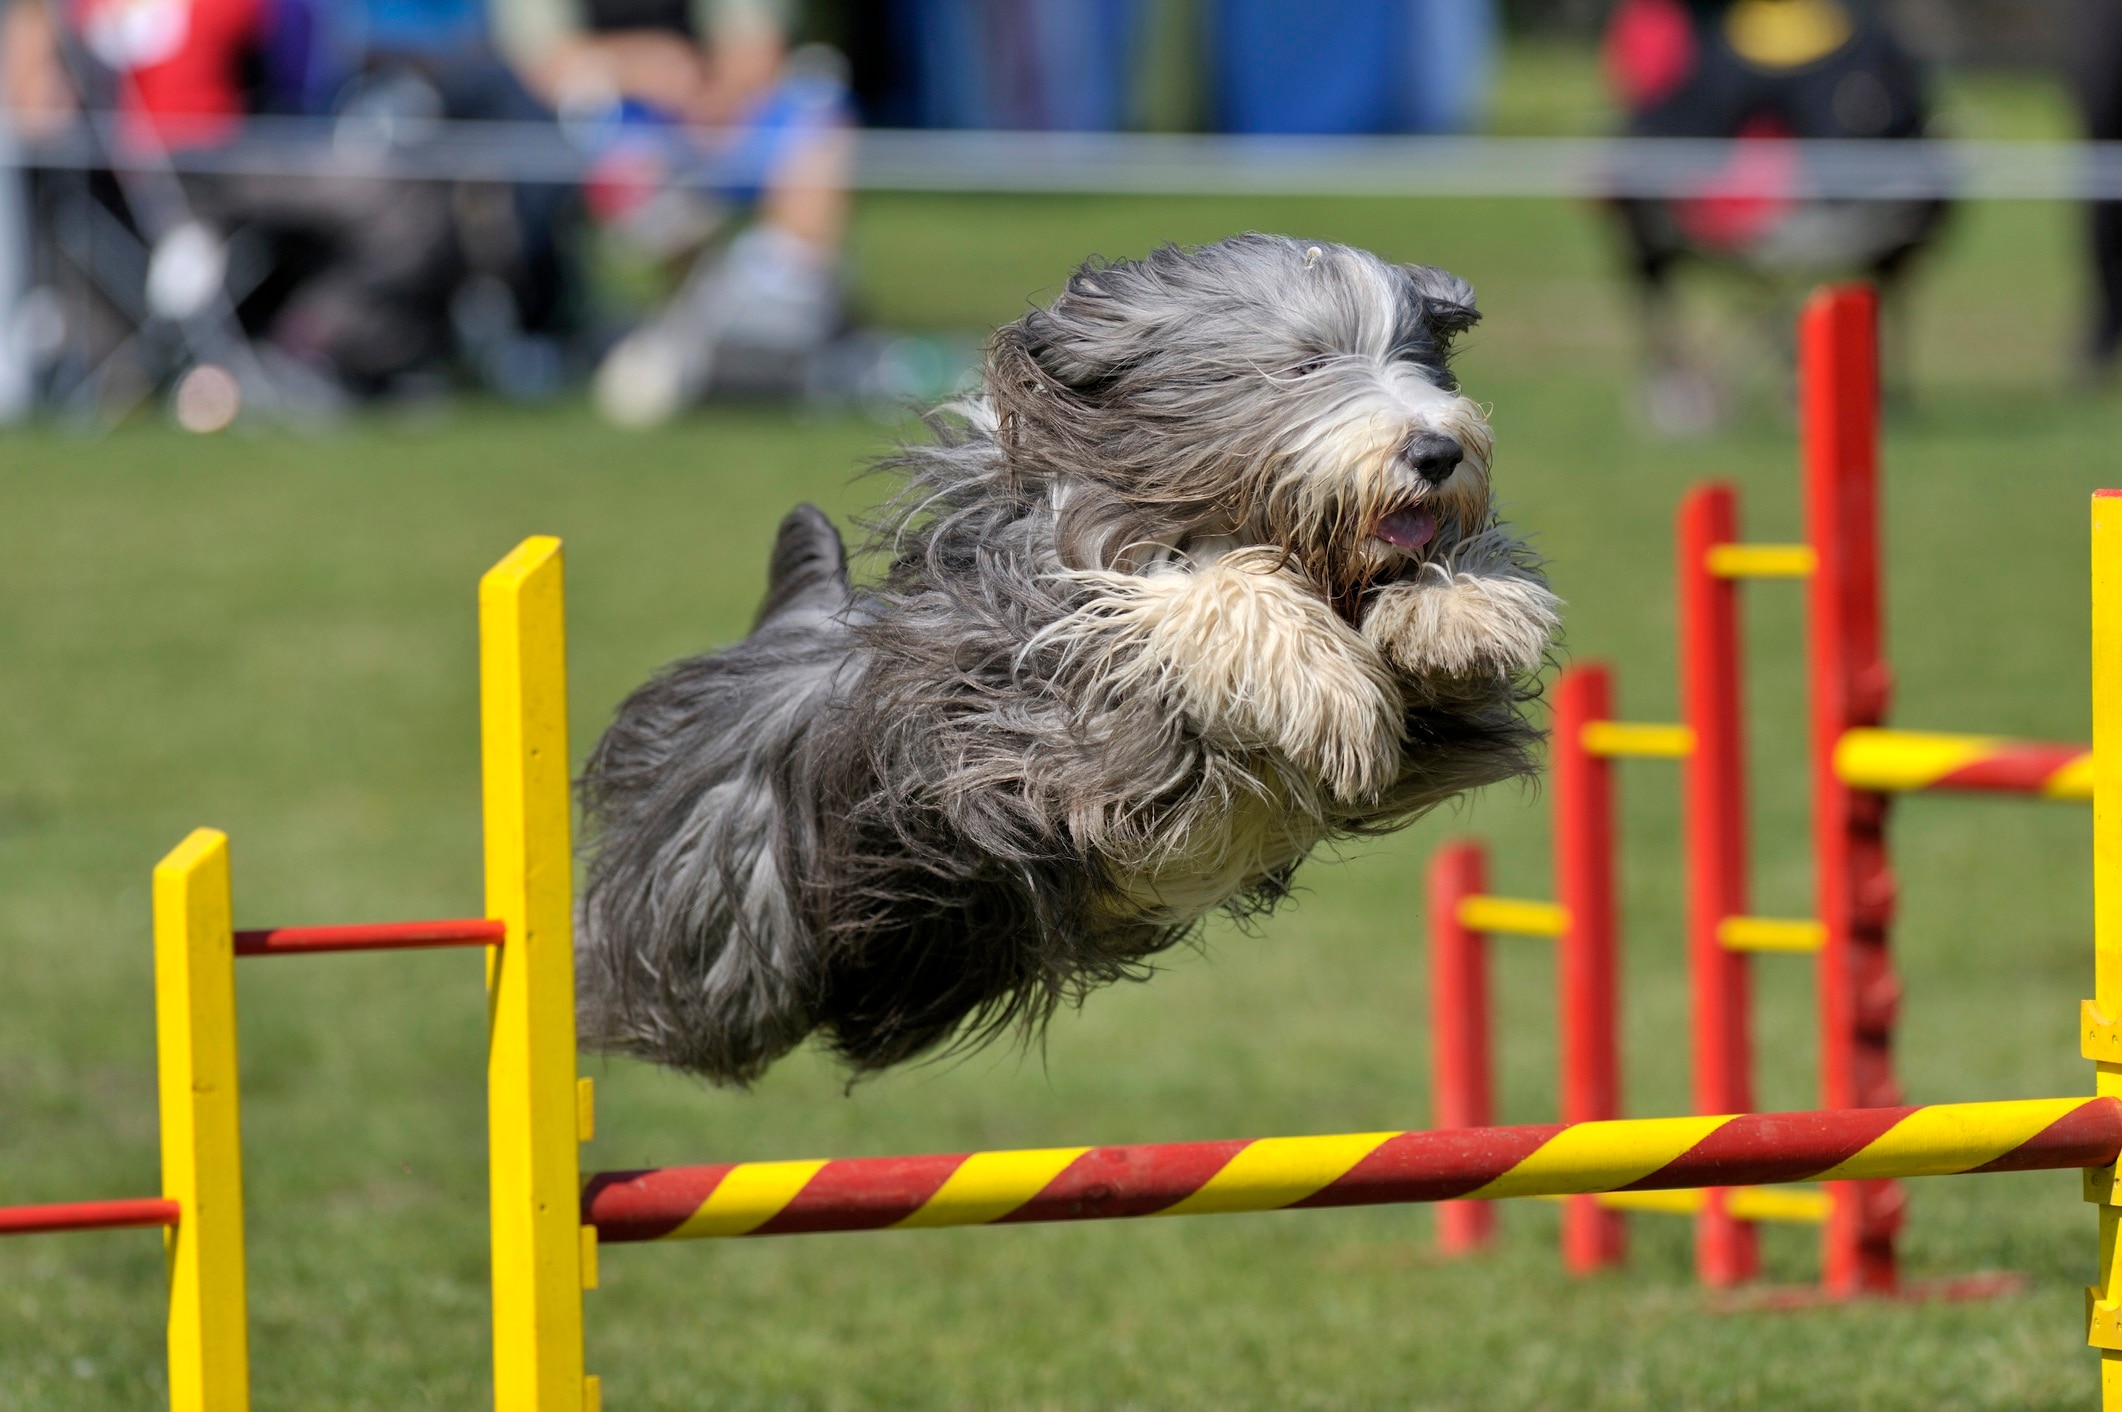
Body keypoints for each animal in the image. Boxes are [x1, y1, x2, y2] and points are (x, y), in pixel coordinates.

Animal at [581, 231, 1561, 1078]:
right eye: (1305, 365)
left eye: (1421, 360)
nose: (1437, 451)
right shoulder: (1051, 725)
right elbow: (1187, 600)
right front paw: (1323, 679)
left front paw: (1465, 609)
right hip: (726, 915)